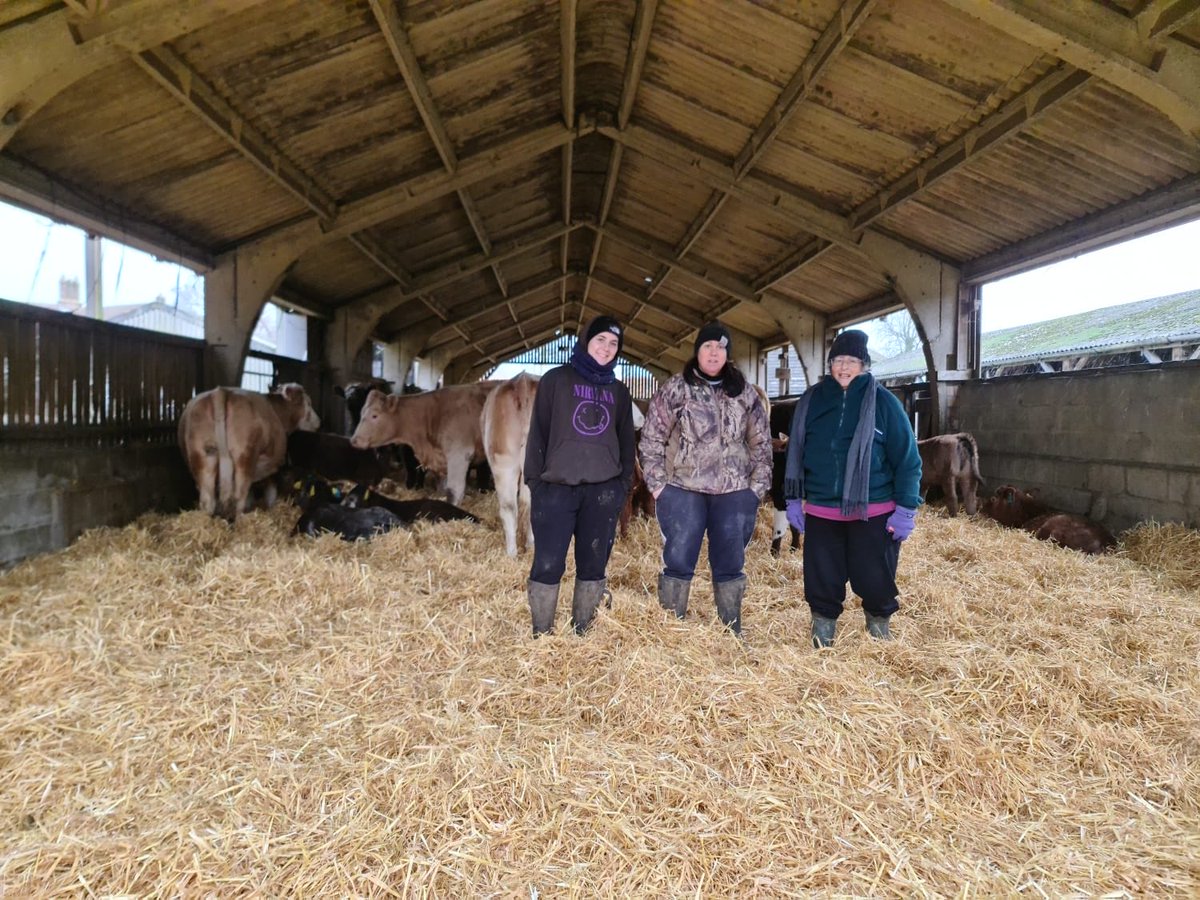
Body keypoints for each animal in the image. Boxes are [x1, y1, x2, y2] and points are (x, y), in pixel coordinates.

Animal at [176, 381, 319, 520]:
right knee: (239, 496)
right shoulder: (274, 467)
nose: (319, 422)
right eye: (309, 403)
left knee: (207, 499)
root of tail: (220, 391)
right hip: (245, 457)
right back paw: (240, 521)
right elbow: (270, 492)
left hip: (202, 457)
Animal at [350, 381, 499, 508]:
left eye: (375, 415)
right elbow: (442, 487)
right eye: (361, 413)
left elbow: (454, 490)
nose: (354, 440)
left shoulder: (459, 454)